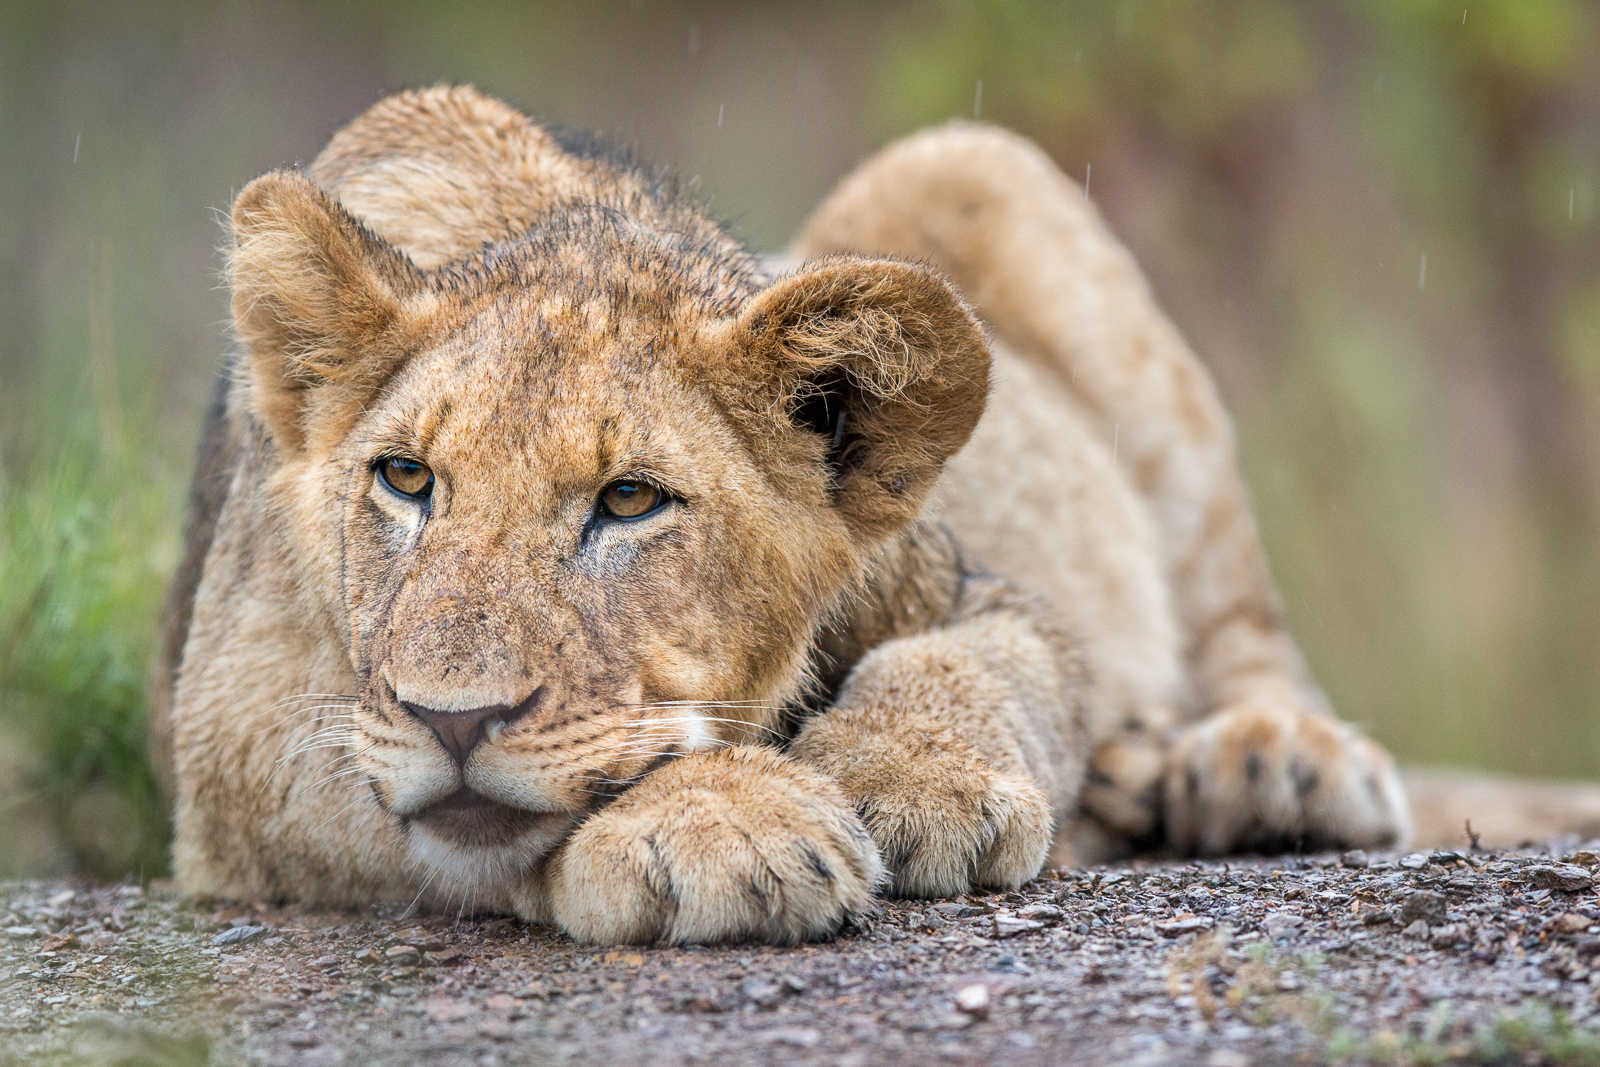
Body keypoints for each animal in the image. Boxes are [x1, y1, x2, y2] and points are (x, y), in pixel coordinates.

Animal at [147, 87, 1401, 947]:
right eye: (406, 479)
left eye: (628, 499)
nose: (454, 721)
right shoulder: (225, 736)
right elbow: (421, 809)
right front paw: (717, 820)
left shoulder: (977, 588)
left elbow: (978, 664)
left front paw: (912, 783)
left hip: (977, 164)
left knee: (1248, 633)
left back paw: (1268, 767)